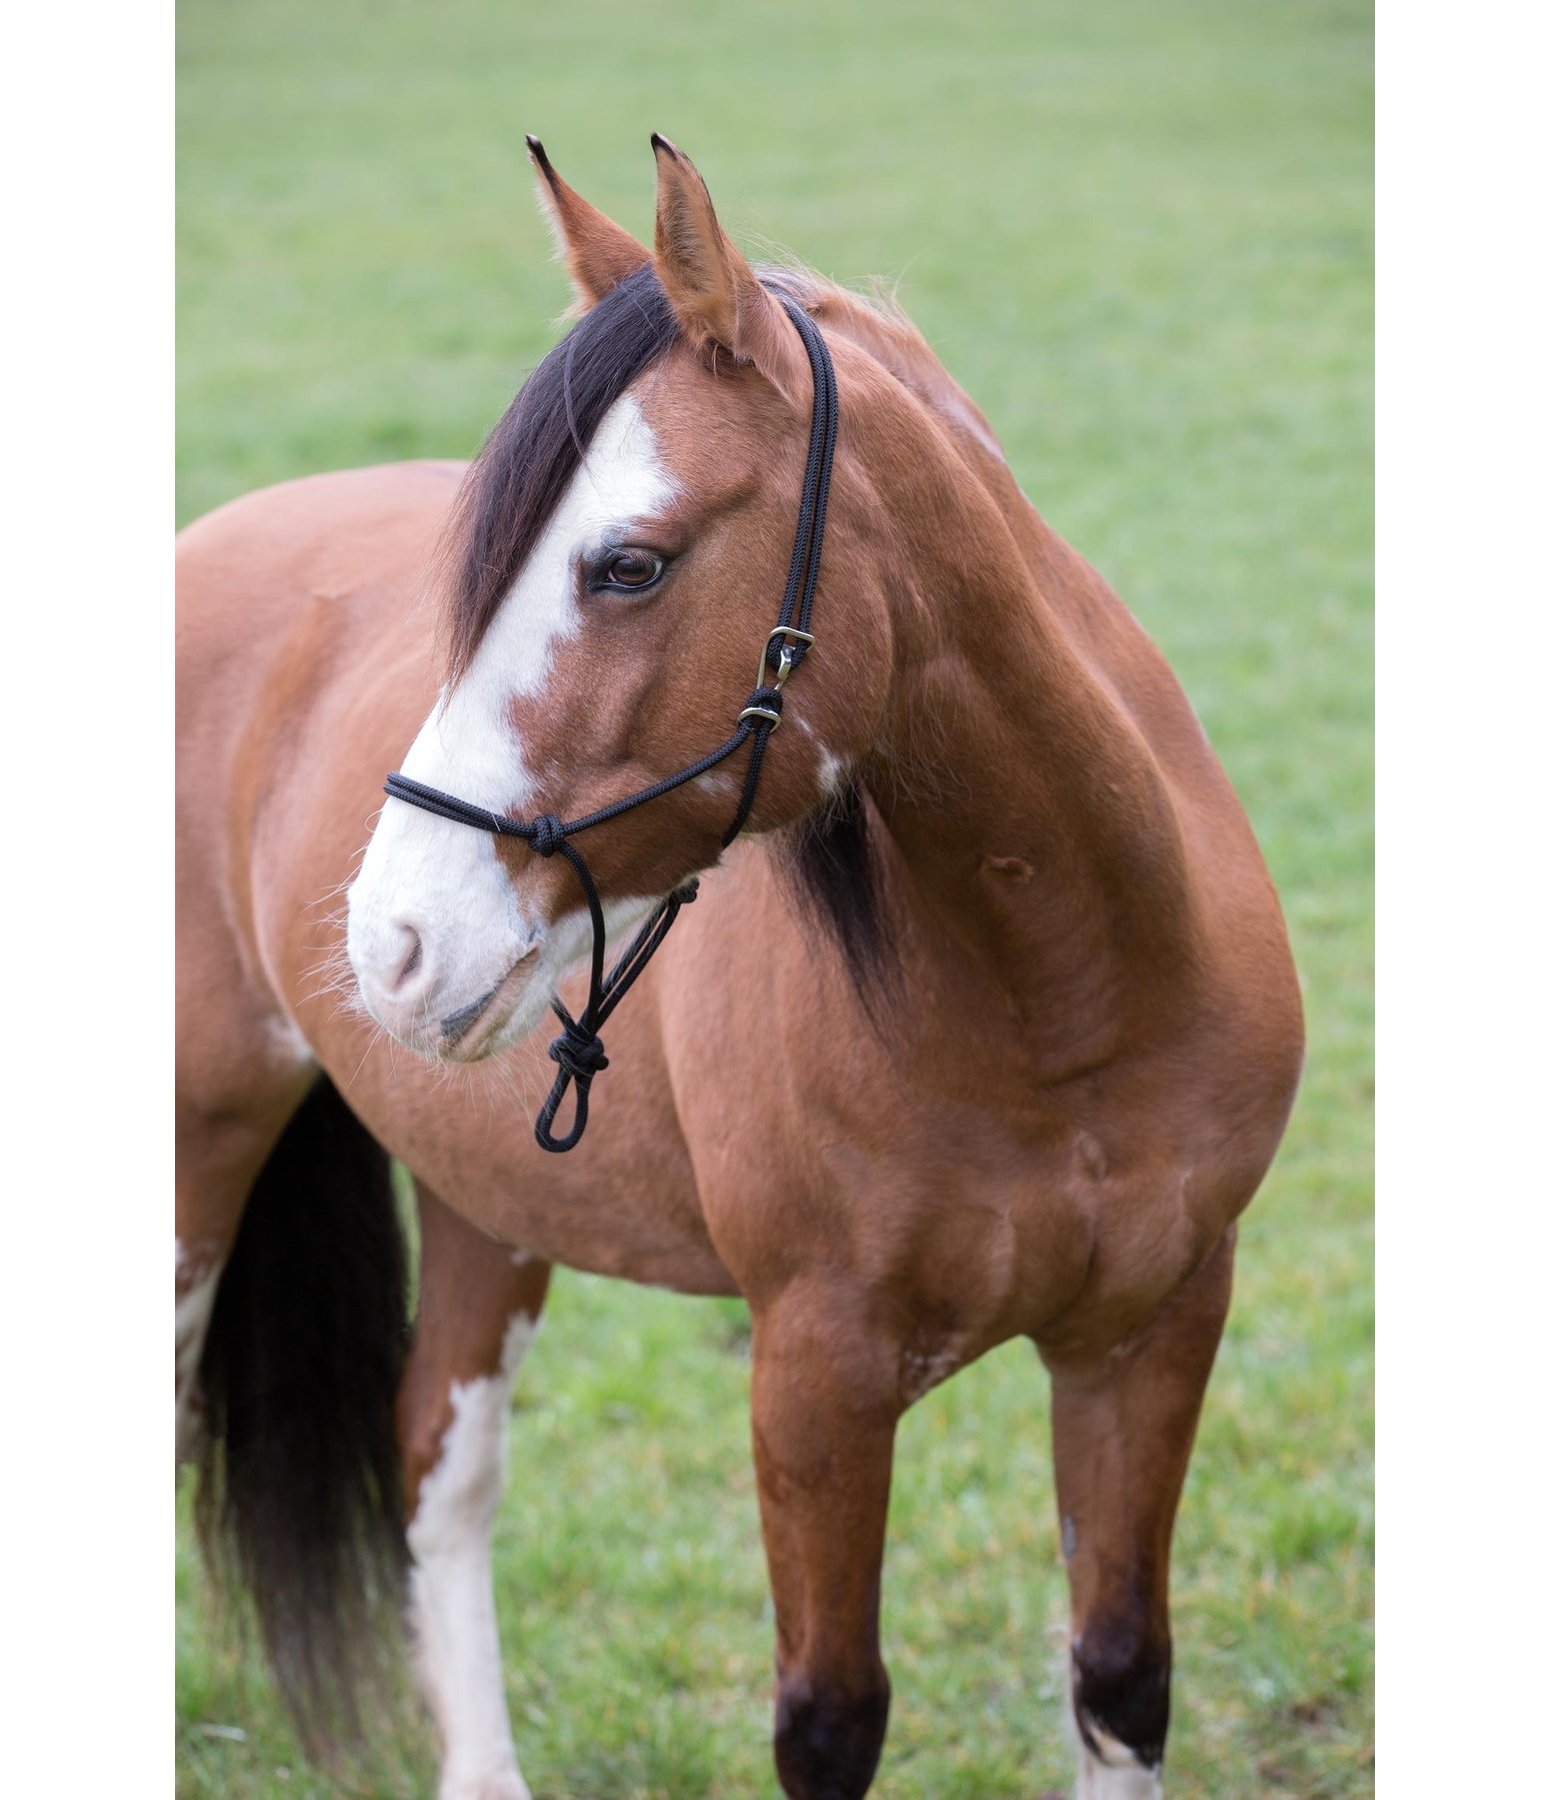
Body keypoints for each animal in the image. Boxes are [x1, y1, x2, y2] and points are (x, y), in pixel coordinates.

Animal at [175, 134, 1304, 1800]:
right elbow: (828, 1719)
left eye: (628, 565)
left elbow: (1118, 1672)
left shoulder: (1151, 1331)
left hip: (483, 1197)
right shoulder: (815, 1372)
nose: (390, 940)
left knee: (440, 1468)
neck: (1066, 1008)